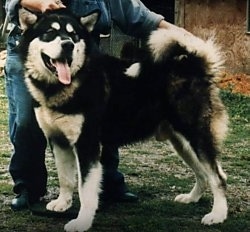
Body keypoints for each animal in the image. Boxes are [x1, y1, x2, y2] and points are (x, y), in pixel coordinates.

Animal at [17, 8, 229, 231]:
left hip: (196, 138)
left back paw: (218, 214)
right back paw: (192, 198)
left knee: (218, 177)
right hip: (182, 144)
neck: (62, 86)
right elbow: (65, 178)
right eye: (50, 32)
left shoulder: (87, 145)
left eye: (73, 35)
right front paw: (63, 203)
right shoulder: (58, 141)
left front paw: (82, 221)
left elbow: (86, 190)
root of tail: (194, 64)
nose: (68, 45)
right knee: (203, 174)